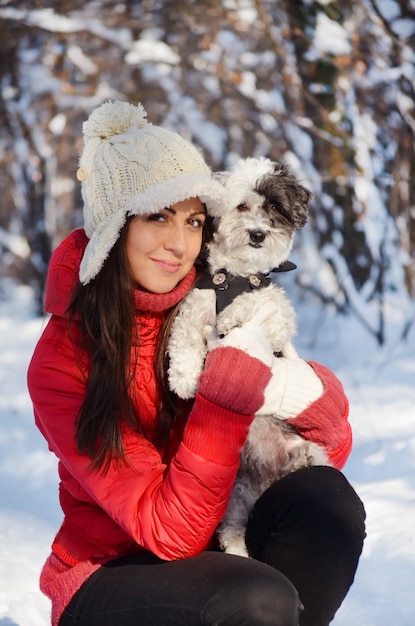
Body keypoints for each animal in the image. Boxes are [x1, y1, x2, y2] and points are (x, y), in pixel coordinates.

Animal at [167, 156, 330, 556]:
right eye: (242, 207)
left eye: (274, 208)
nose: (258, 234)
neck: (236, 277)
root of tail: (267, 479)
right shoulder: (194, 308)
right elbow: (184, 340)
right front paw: (184, 378)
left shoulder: (279, 314)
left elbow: (258, 308)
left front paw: (234, 318)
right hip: (238, 496)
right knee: (233, 529)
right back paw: (238, 549)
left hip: (308, 453)